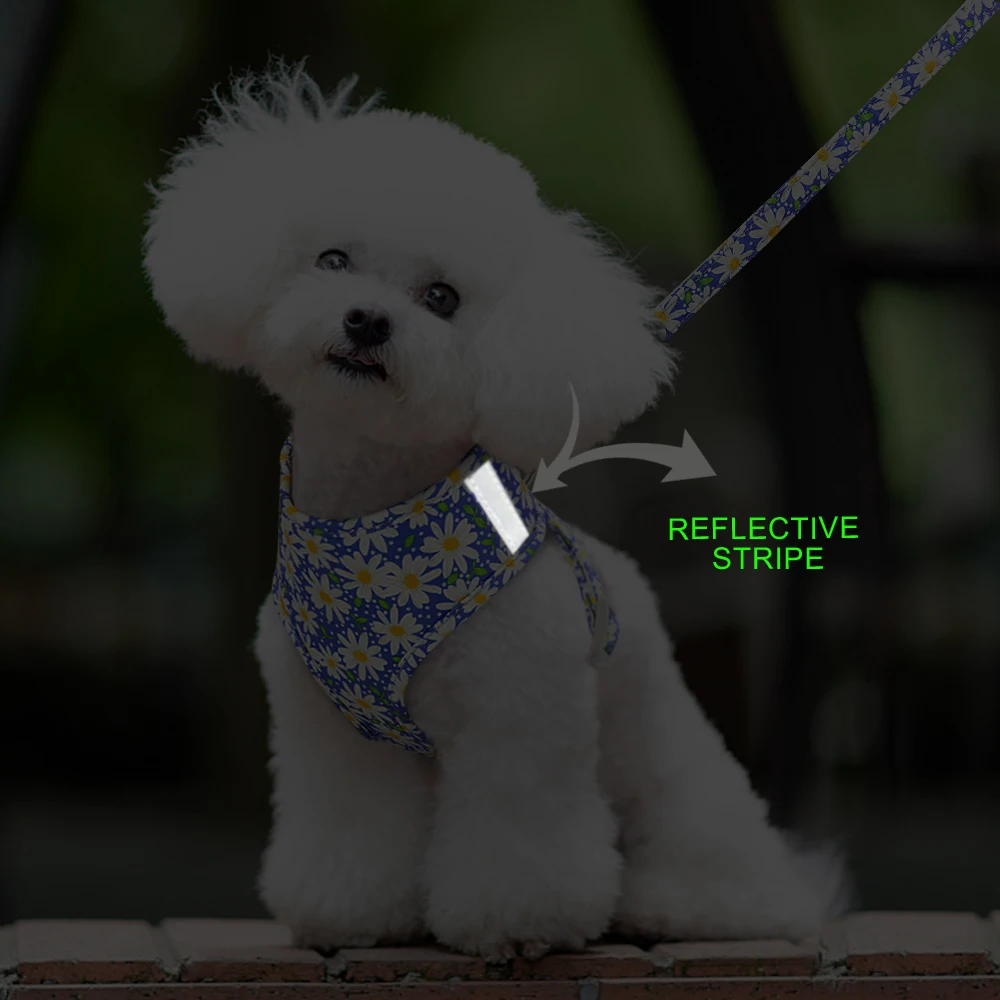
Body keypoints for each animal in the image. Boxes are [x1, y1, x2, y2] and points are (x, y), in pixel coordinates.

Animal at [143, 64, 846, 960]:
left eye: (442, 297)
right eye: (332, 259)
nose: (367, 320)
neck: (375, 520)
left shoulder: (518, 715)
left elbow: (518, 837)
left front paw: (518, 925)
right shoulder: (331, 731)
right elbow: (353, 825)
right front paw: (351, 912)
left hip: (672, 771)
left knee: (719, 861)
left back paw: (677, 903)